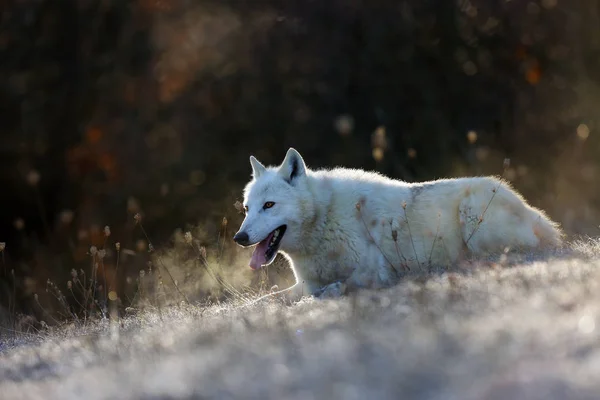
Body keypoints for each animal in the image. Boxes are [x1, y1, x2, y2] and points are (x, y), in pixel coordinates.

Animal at [234, 148, 564, 298]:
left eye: (269, 205)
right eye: (248, 208)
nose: (240, 237)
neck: (325, 220)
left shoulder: (373, 273)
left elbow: (333, 288)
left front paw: (333, 290)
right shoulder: (304, 283)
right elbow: (266, 299)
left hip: (474, 218)